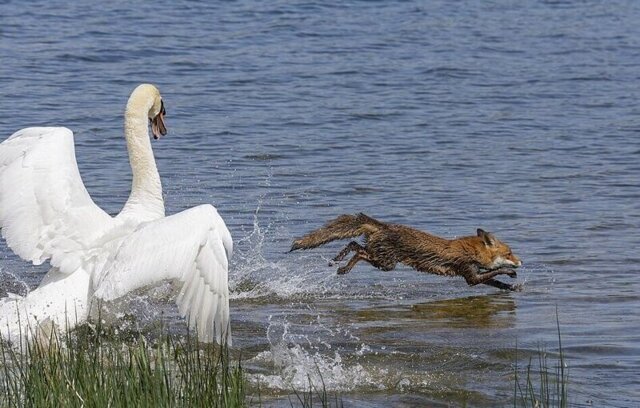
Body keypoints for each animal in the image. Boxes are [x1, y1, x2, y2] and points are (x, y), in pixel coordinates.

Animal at [290, 214, 520, 290]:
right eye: (509, 254)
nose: (521, 262)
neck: (472, 251)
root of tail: (384, 226)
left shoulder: (473, 274)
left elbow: (495, 281)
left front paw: (510, 287)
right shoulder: (470, 276)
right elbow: (496, 272)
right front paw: (510, 274)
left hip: (382, 259)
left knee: (354, 244)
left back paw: (338, 260)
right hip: (386, 263)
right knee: (359, 252)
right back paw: (343, 267)